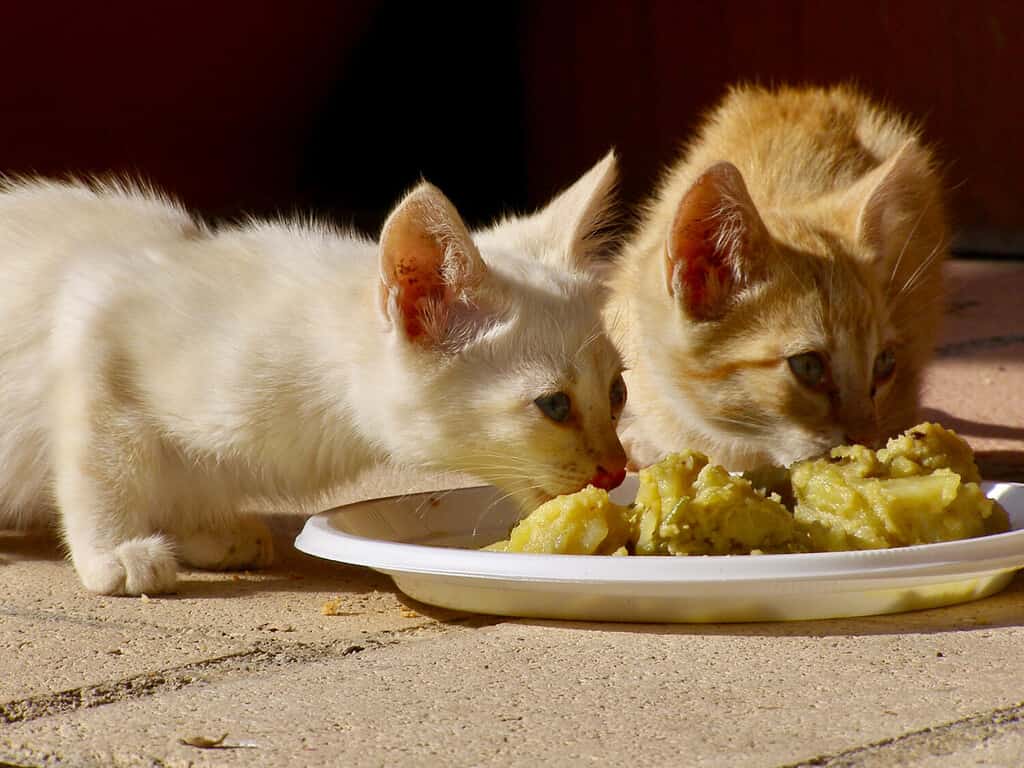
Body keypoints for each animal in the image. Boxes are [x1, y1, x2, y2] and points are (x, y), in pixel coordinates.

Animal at [0, 154, 622, 593]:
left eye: (617, 392)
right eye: (555, 405)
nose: (616, 469)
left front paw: (206, 529)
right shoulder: (95, 322)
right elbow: (104, 469)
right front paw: (115, 550)